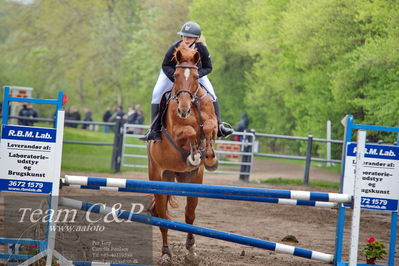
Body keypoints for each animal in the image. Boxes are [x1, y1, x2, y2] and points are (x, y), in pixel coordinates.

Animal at [148, 42, 219, 262]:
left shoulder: (212, 123)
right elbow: (189, 131)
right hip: (158, 177)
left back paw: (190, 249)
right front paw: (195, 154)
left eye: (196, 77)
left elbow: (209, 127)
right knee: (162, 216)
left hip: (192, 179)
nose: (183, 110)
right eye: (177, 75)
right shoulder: (177, 132)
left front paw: (208, 156)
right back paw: (165, 253)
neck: (193, 103)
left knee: (190, 214)